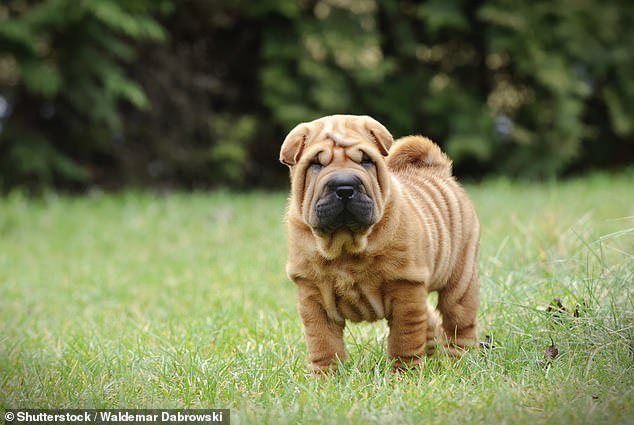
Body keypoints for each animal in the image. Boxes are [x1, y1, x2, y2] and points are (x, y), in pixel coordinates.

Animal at [278, 114, 476, 370]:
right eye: (316, 164)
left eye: (366, 161)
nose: (344, 187)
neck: (345, 245)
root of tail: (438, 170)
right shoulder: (313, 295)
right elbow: (323, 344)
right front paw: (328, 376)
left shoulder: (406, 287)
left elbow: (405, 339)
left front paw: (405, 373)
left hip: (461, 277)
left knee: (459, 321)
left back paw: (462, 360)